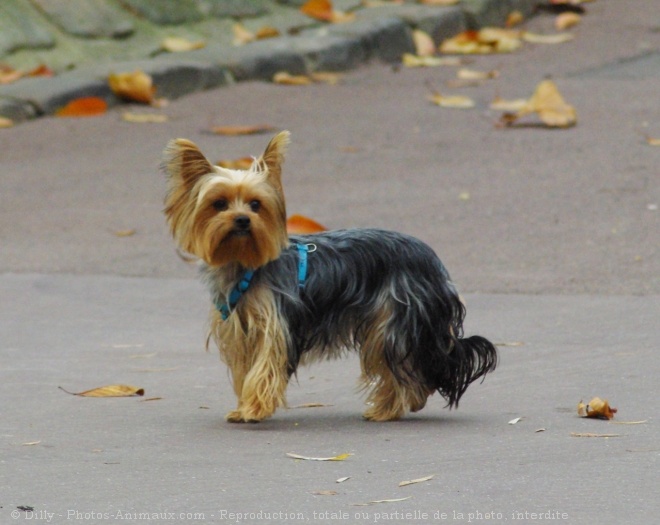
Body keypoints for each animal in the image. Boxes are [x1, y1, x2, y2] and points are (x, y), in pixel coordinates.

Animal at [164, 131, 496, 422]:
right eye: (219, 203)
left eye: (256, 204)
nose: (243, 219)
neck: (244, 264)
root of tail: (434, 261)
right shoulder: (241, 330)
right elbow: (247, 369)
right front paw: (243, 407)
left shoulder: (276, 324)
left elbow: (265, 367)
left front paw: (254, 409)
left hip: (394, 321)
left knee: (405, 368)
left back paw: (387, 410)